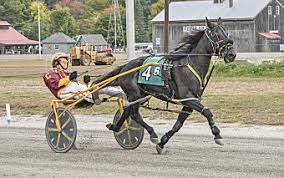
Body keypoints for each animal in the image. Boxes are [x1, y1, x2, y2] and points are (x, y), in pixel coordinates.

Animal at [92, 18, 236, 154]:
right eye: (217, 35)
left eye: (227, 32)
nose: (231, 54)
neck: (190, 65)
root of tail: (125, 67)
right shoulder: (188, 99)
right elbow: (207, 112)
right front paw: (217, 135)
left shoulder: (189, 102)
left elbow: (178, 124)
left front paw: (162, 143)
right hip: (135, 94)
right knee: (134, 114)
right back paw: (152, 134)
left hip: (142, 95)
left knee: (128, 110)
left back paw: (116, 127)